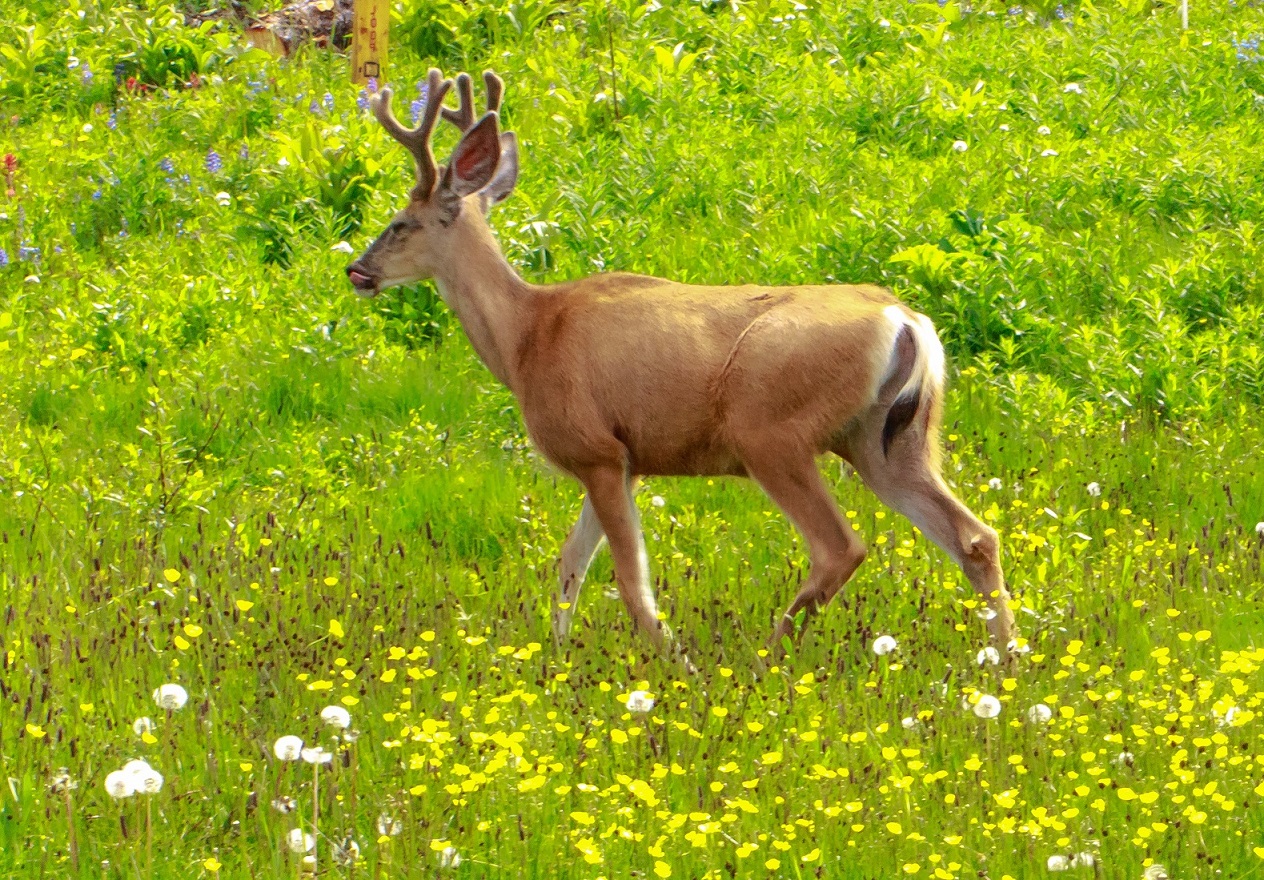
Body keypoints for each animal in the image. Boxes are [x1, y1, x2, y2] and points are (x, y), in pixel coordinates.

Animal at [346, 68, 1016, 662]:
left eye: (399, 224)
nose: (358, 270)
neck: (526, 336)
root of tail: (907, 322)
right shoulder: (623, 460)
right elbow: (569, 565)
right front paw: (552, 661)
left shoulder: (595, 448)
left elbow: (628, 581)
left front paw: (675, 661)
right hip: (886, 439)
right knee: (976, 537)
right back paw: (1003, 661)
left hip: (769, 429)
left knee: (840, 547)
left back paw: (761, 662)